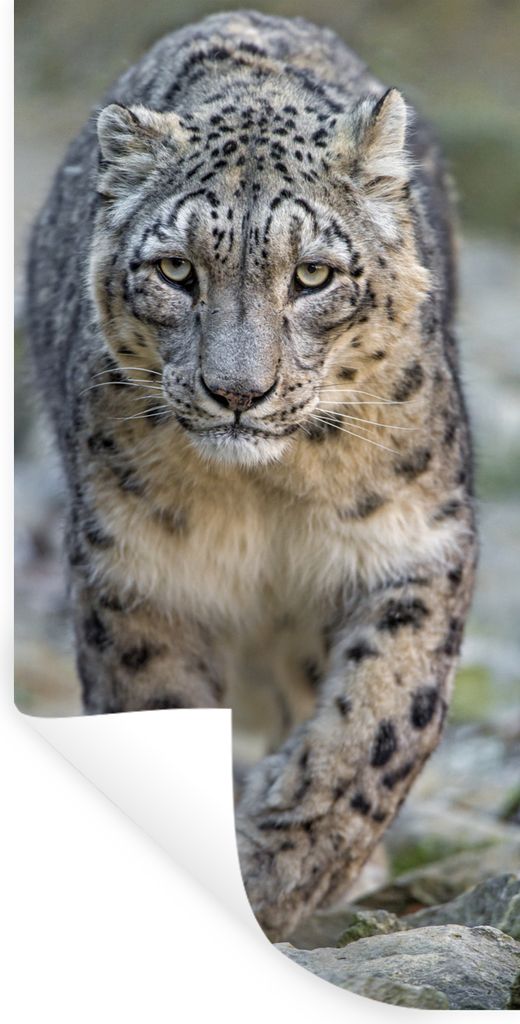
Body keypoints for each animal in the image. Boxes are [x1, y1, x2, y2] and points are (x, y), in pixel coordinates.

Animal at [26, 10, 477, 941]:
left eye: (312, 275)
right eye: (175, 270)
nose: (238, 391)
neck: (268, 500)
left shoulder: (415, 542)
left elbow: (383, 715)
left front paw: (285, 866)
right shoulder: (144, 574)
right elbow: (160, 710)